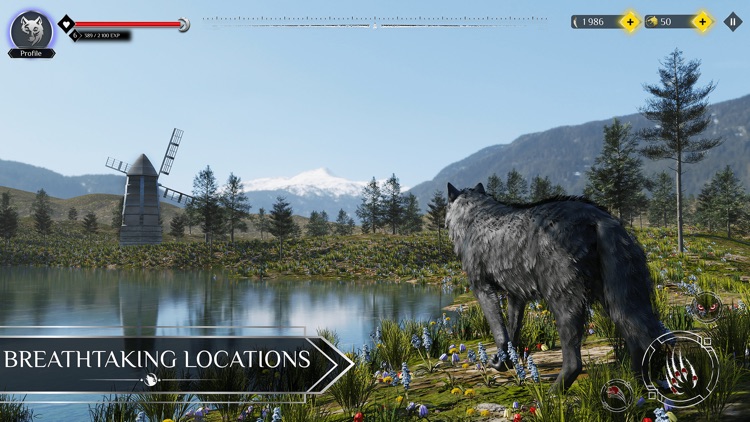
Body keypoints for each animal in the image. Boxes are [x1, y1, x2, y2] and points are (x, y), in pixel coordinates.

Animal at [446, 182, 664, 390]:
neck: (473, 214)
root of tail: (601, 219)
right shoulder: (516, 295)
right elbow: (513, 331)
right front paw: (505, 362)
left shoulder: (482, 288)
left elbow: (500, 332)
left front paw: (499, 362)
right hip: (622, 301)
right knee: (643, 339)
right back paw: (639, 386)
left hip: (563, 300)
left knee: (574, 361)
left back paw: (552, 395)